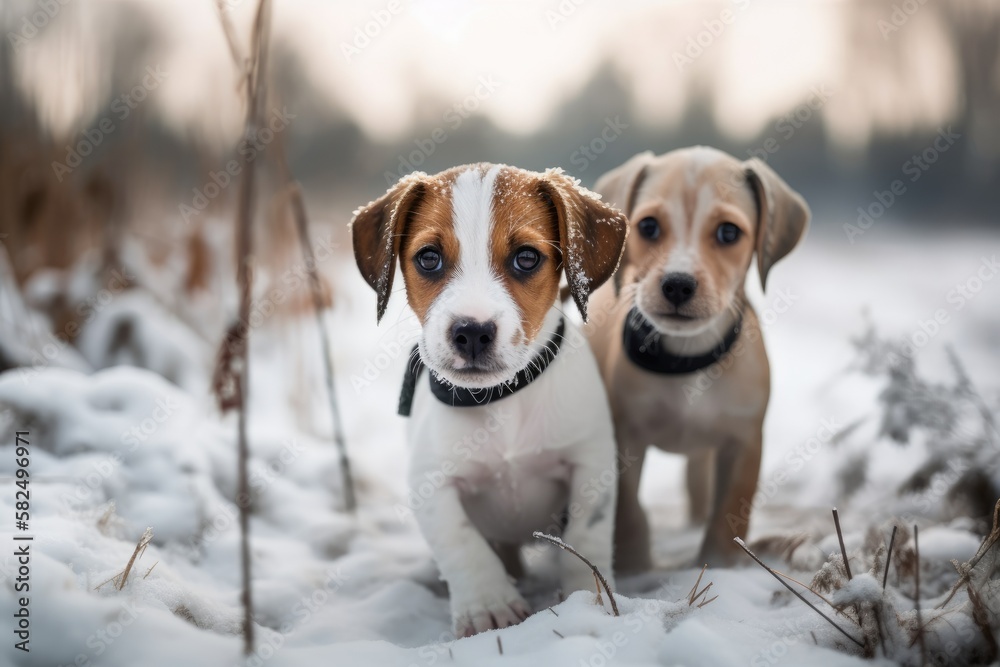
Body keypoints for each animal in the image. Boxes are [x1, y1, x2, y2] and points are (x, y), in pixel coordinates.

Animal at [354, 162, 624, 636]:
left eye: (527, 258)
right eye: (429, 258)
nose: (472, 332)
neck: (500, 399)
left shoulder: (591, 465)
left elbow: (585, 538)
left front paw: (586, 597)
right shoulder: (431, 484)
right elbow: (461, 541)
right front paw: (487, 605)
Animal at [588, 147, 808, 568]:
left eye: (729, 233)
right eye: (648, 227)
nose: (677, 284)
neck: (686, 359)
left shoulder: (743, 441)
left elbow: (729, 512)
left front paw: (720, 564)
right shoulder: (623, 441)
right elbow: (629, 512)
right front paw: (634, 567)